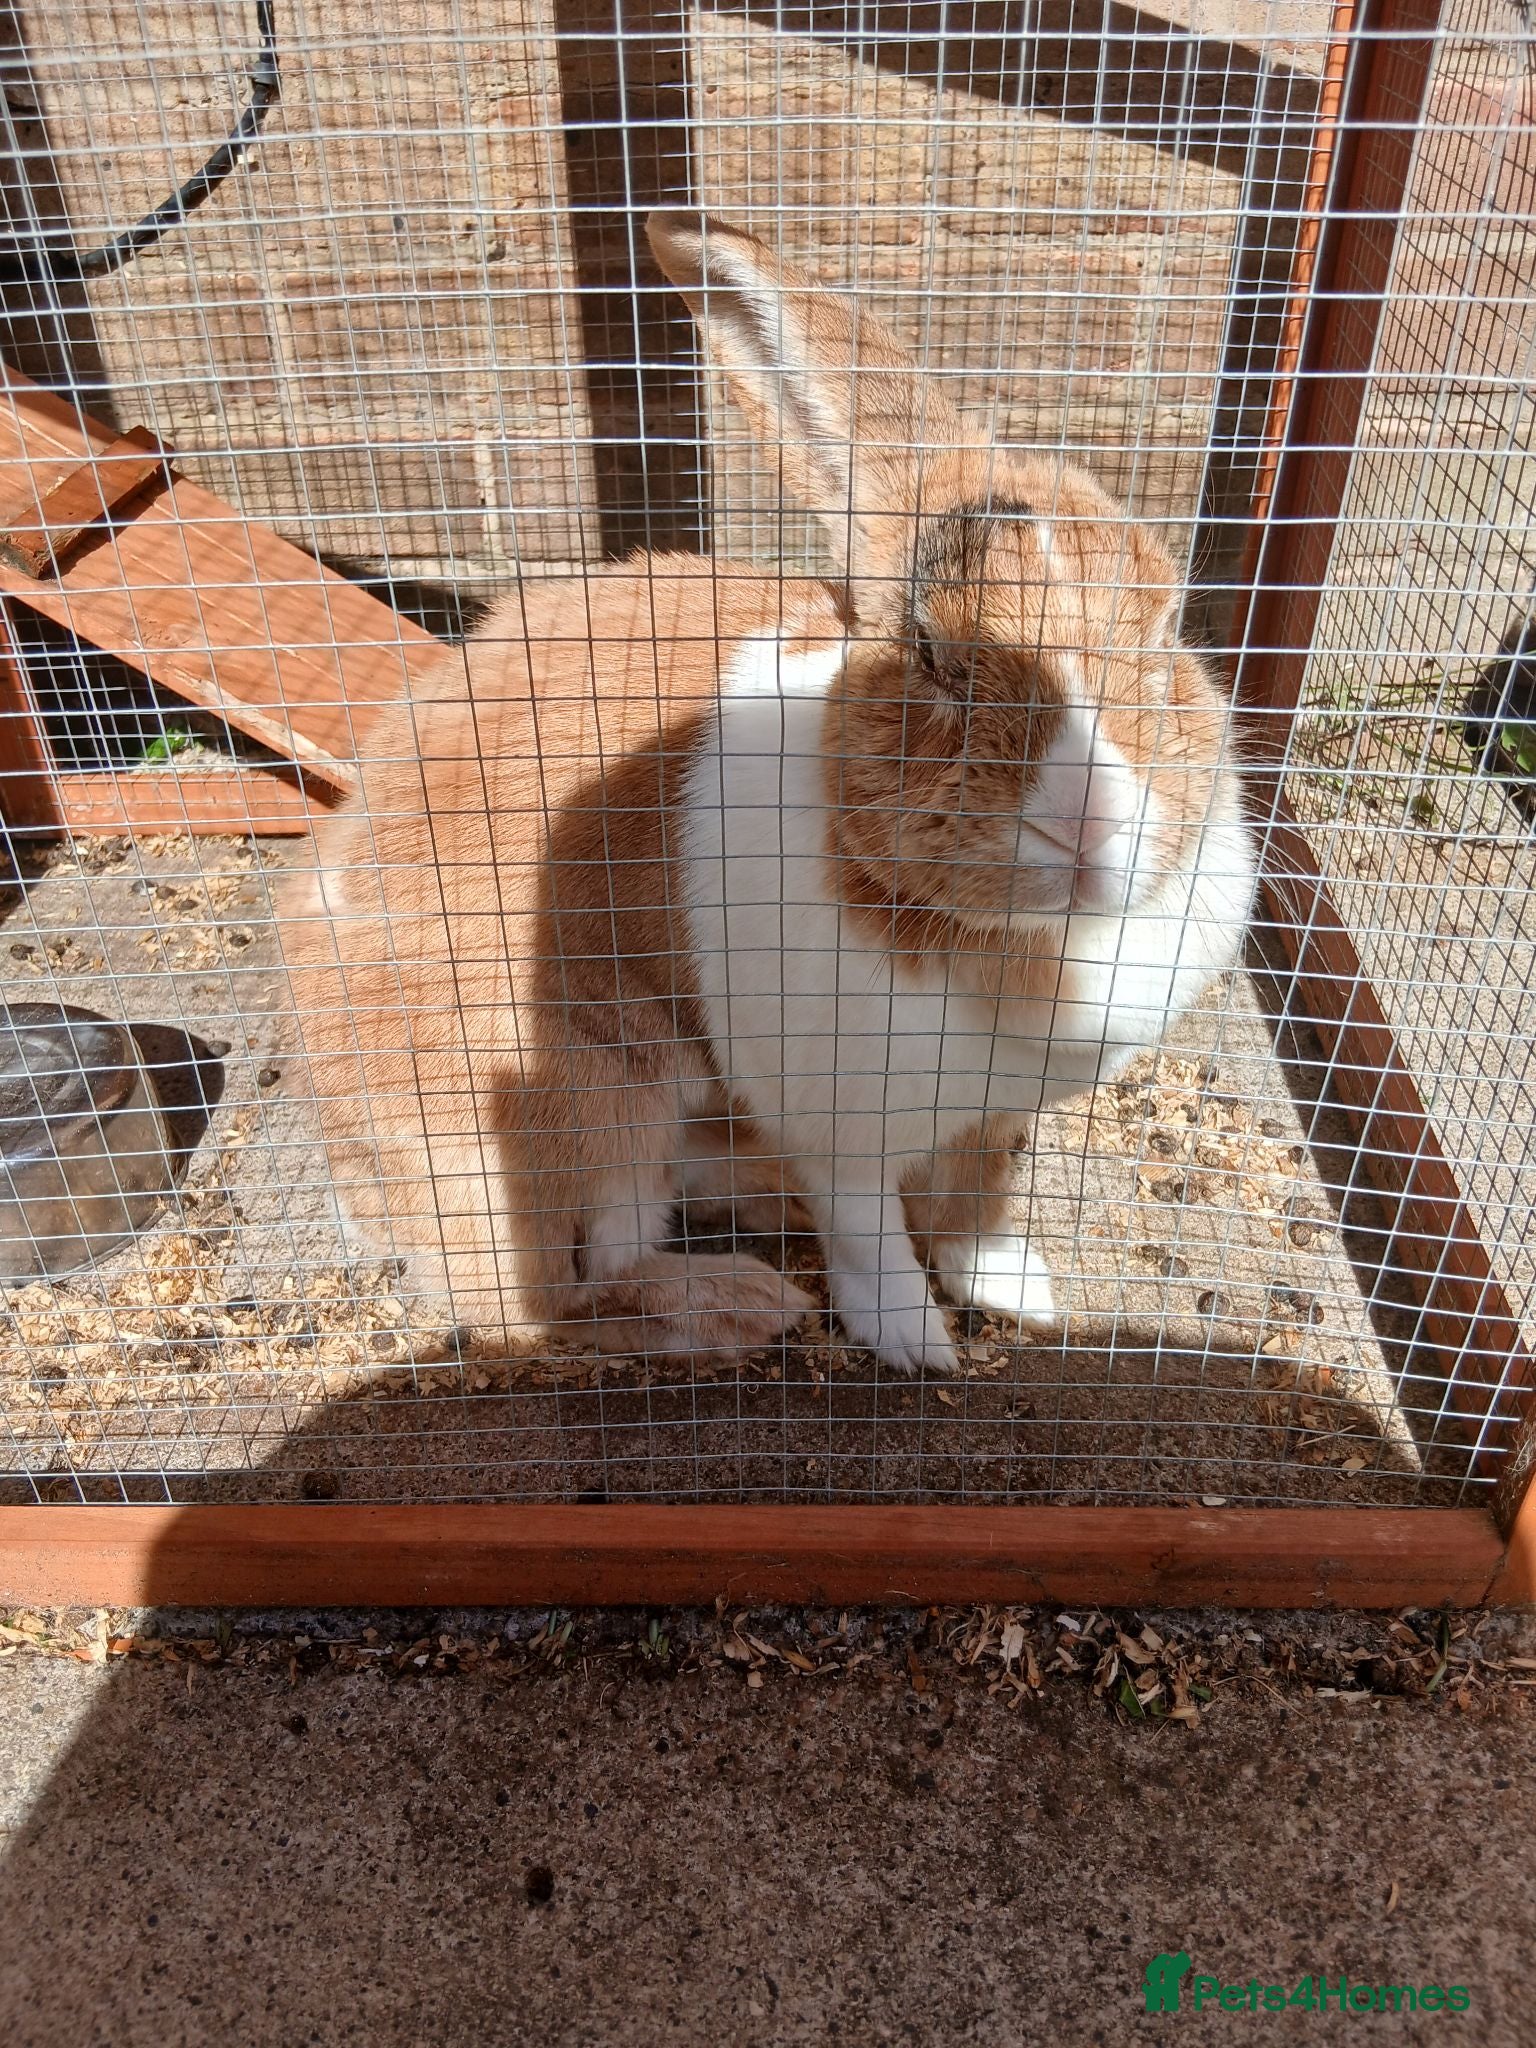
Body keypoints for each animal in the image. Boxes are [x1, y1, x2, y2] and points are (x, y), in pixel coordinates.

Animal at [281, 209, 1257, 1377]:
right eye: (932, 657)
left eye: (1166, 636)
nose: (1086, 820)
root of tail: (350, 1169)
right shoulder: (840, 1127)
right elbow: (872, 1235)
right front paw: (915, 1342)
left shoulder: (987, 1122)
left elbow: (972, 1204)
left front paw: (1018, 1289)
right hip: (577, 1099)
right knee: (552, 1301)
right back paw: (746, 1301)